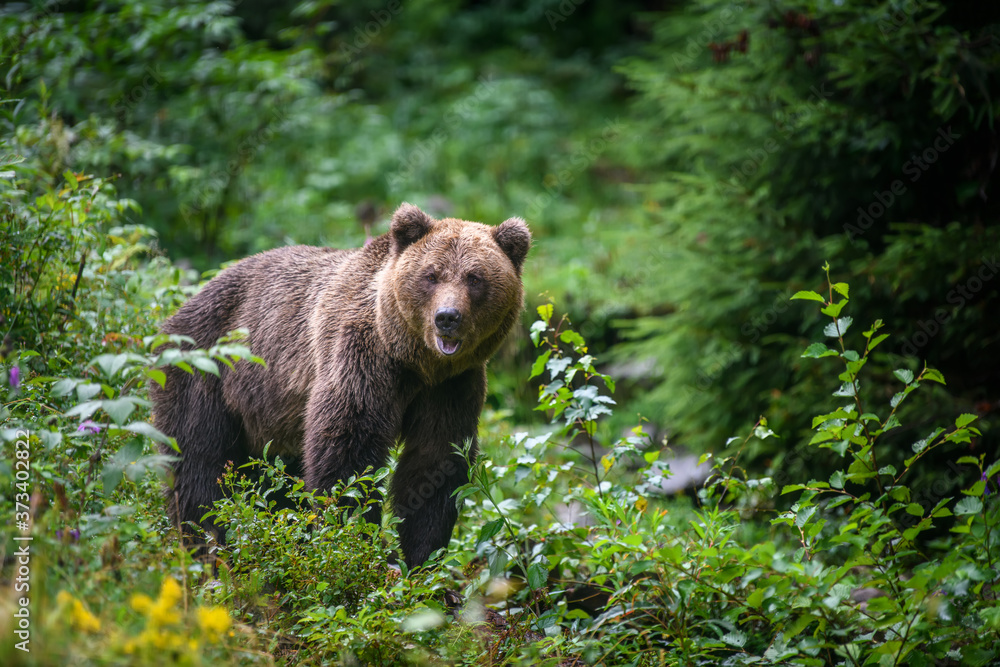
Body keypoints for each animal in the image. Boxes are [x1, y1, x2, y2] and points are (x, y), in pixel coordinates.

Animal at [152, 205, 528, 568]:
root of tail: (180, 310)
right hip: (207, 371)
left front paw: (421, 557)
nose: (447, 317)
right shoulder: (361, 359)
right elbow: (349, 454)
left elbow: (435, 461)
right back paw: (210, 549)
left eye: (474, 277)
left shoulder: (452, 386)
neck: (414, 361)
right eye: (431, 275)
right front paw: (360, 546)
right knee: (199, 466)